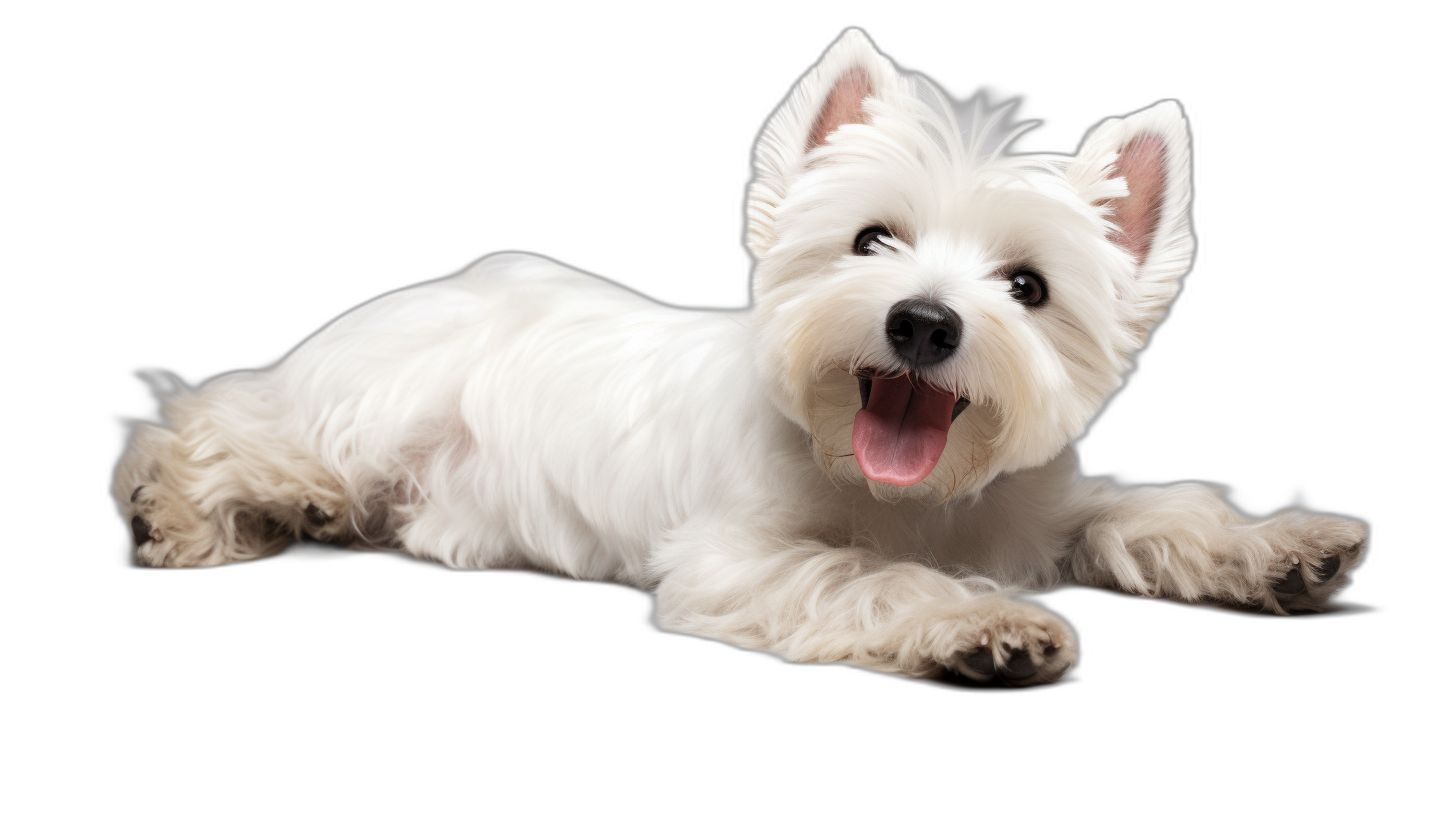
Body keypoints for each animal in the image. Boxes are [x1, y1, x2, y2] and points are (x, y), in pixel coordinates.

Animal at [110, 28, 1362, 684]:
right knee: (205, 428)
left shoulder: (1032, 509)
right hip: (371, 396)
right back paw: (212, 509)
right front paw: (985, 625)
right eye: (869, 240)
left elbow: (1141, 513)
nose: (922, 324)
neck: (903, 494)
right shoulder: (736, 559)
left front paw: (1285, 552)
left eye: (1026, 288)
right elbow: (863, 578)